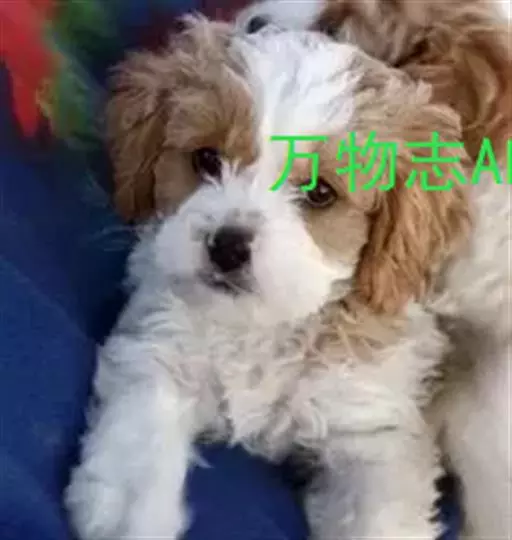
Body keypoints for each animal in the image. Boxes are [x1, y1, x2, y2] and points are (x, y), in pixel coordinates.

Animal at [65, 17, 476, 540]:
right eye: (206, 159)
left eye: (320, 193)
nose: (227, 245)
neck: (265, 328)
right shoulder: (161, 343)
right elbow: (141, 436)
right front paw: (129, 515)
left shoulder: (374, 429)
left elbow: (381, 513)